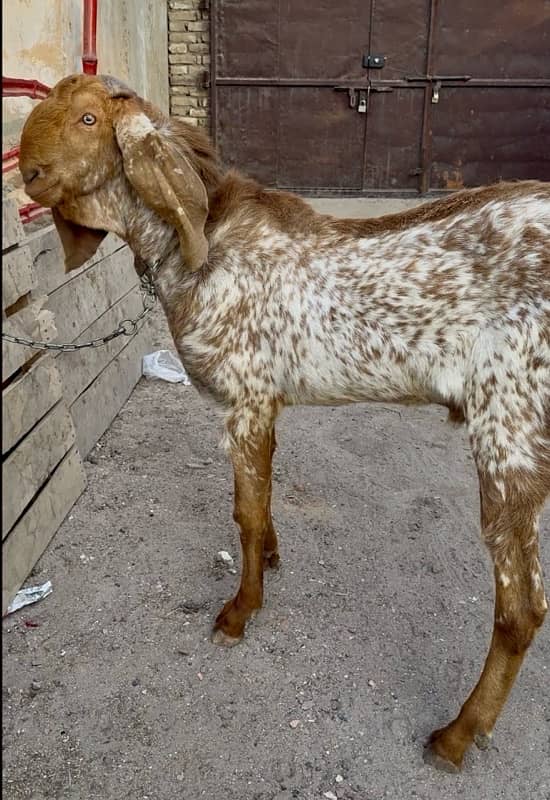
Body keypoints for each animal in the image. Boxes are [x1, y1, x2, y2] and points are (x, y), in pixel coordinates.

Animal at [19, 73, 548, 768]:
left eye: (87, 119)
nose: (27, 173)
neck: (203, 241)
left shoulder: (244, 398)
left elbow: (243, 512)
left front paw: (239, 612)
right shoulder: (265, 403)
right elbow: (262, 499)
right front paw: (269, 559)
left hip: (510, 428)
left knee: (522, 607)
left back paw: (457, 735)